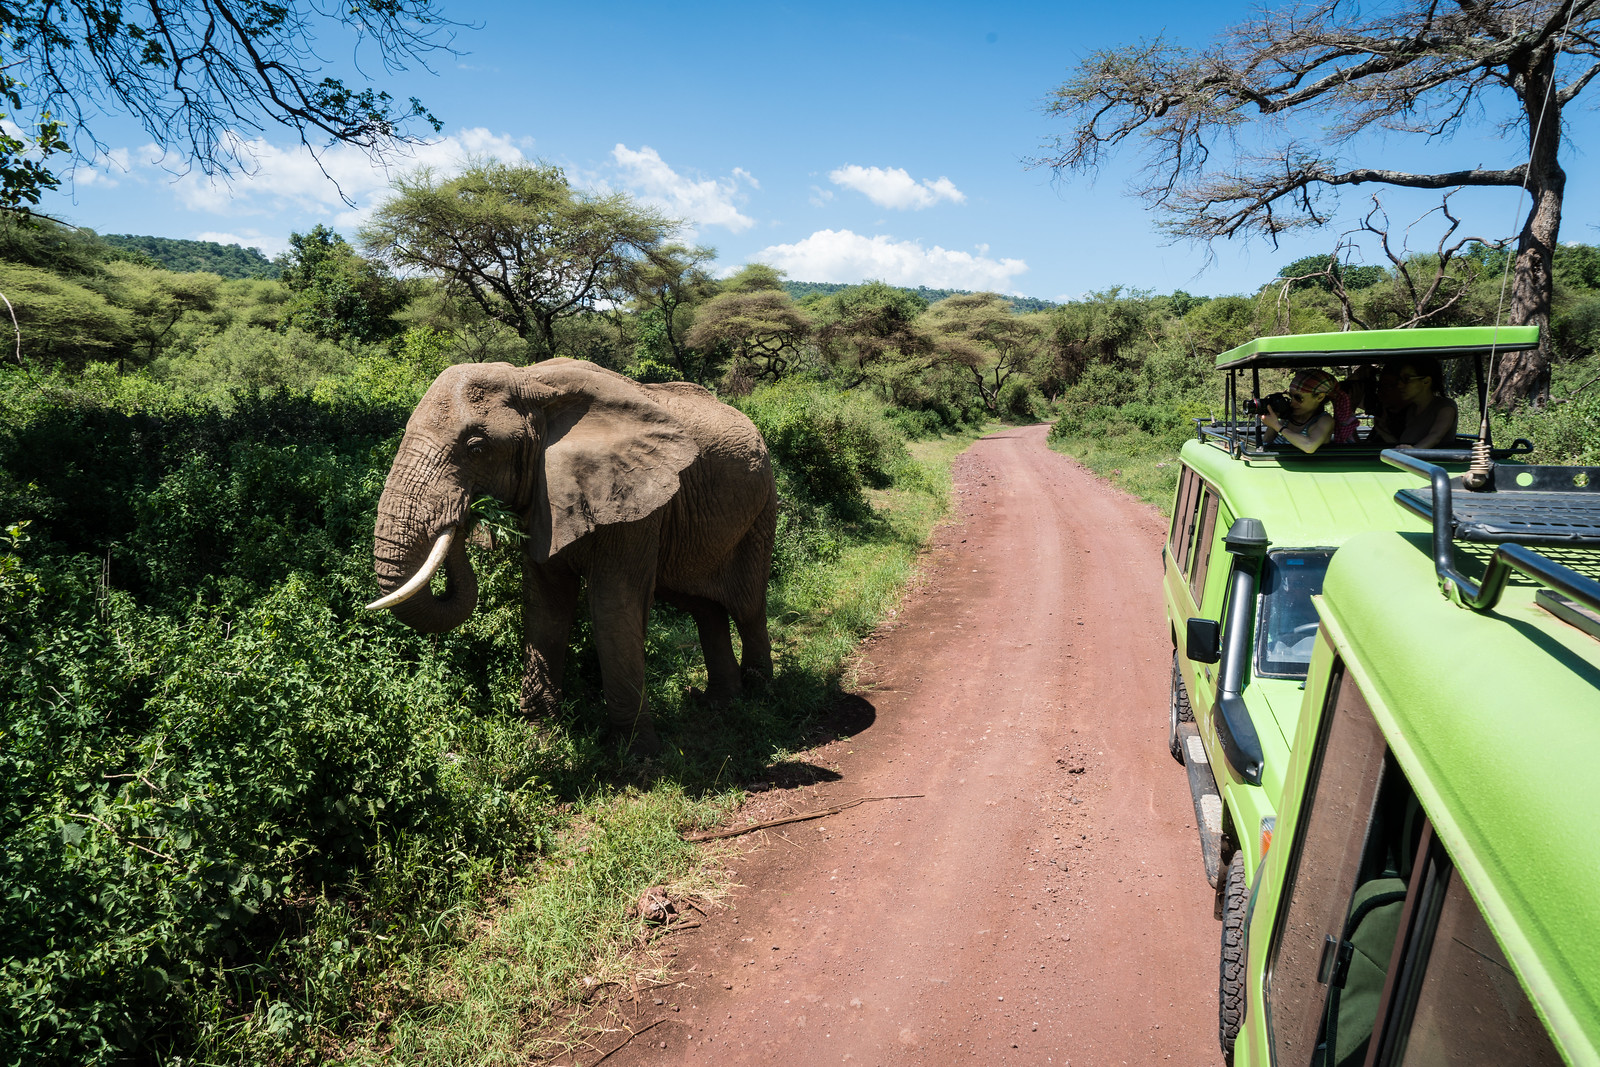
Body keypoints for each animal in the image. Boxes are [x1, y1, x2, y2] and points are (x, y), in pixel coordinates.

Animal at [369, 356, 780, 751]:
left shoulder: (635, 502)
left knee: (747, 606)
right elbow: (546, 606)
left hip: (762, 506)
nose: (467, 511)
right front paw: (540, 738)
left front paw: (633, 752)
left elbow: (613, 606)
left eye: (477, 448)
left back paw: (760, 697)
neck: (532, 381)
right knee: (704, 607)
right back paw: (720, 703)